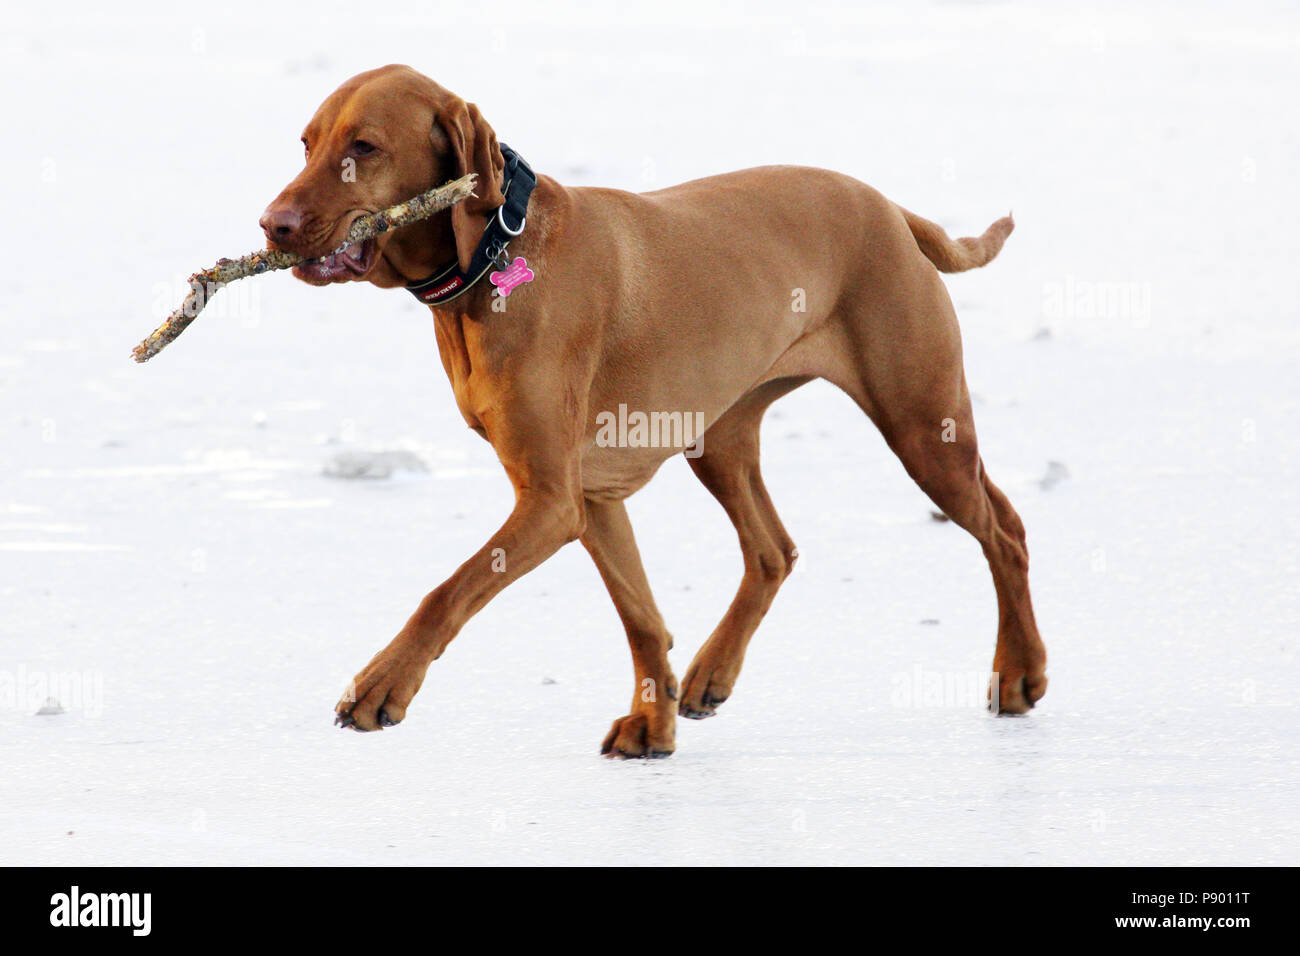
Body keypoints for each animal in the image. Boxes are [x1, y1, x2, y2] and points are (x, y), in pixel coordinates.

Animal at [261, 63, 1045, 759]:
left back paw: (1020, 672)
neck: (494, 254)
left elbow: (447, 590)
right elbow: (640, 617)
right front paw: (652, 724)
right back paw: (711, 673)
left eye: (365, 147)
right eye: (306, 143)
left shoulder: (549, 502)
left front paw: (382, 684)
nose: (273, 225)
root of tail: (888, 207)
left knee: (1004, 530)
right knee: (772, 551)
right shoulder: (588, 498)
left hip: (923, 427)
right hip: (722, 436)